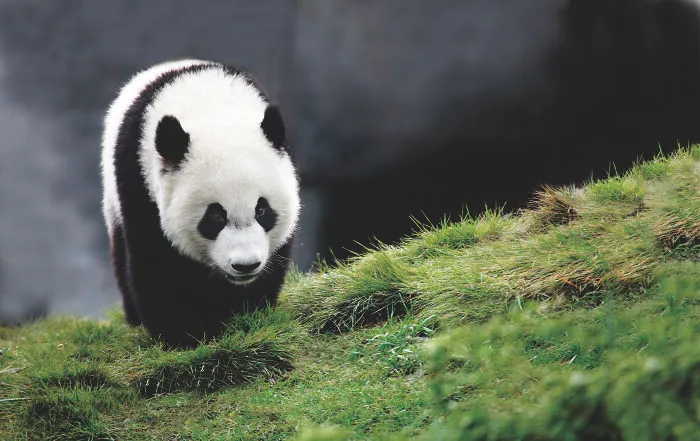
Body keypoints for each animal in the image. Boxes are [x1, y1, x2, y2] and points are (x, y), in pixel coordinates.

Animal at [100, 59, 300, 348]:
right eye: (215, 216)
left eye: (262, 210)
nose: (245, 266)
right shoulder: (139, 184)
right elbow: (156, 264)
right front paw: (183, 334)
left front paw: (248, 314)